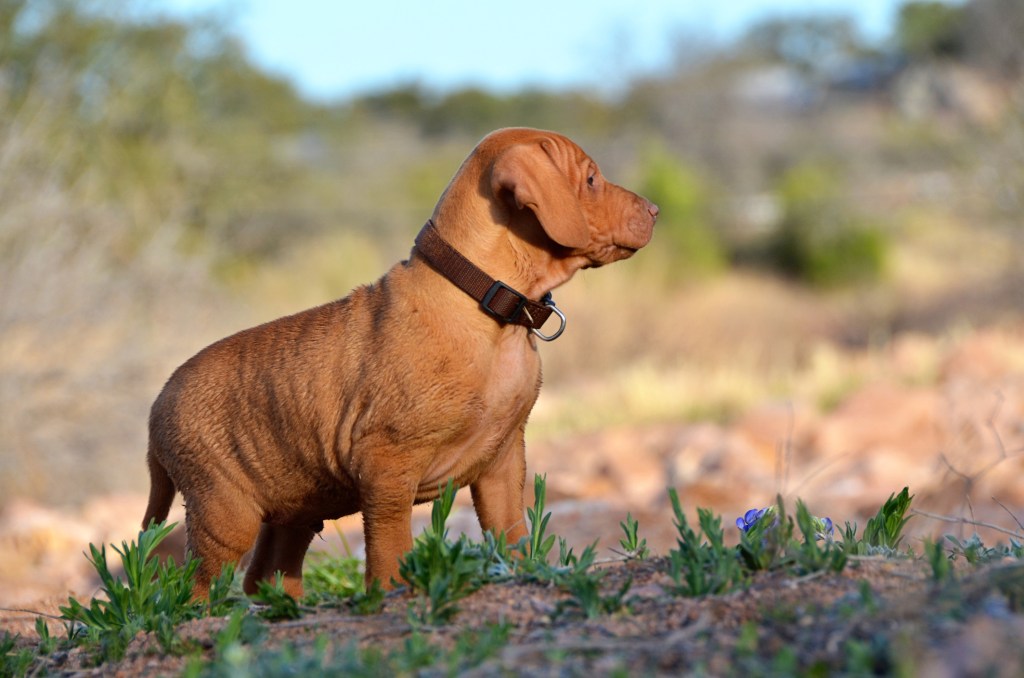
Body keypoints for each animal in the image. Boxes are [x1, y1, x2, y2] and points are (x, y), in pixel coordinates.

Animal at [142, 125, 655, 594]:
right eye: (591, 179)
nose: (654, 210)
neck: (490, 308)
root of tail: (156, 406)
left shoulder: (503, 460)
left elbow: (511, 535)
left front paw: (525, 573)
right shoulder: (387, 466)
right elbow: (390, 549)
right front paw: (390, 597)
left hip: (295, 506)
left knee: (267, 575)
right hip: (225, 513)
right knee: (197, 588)